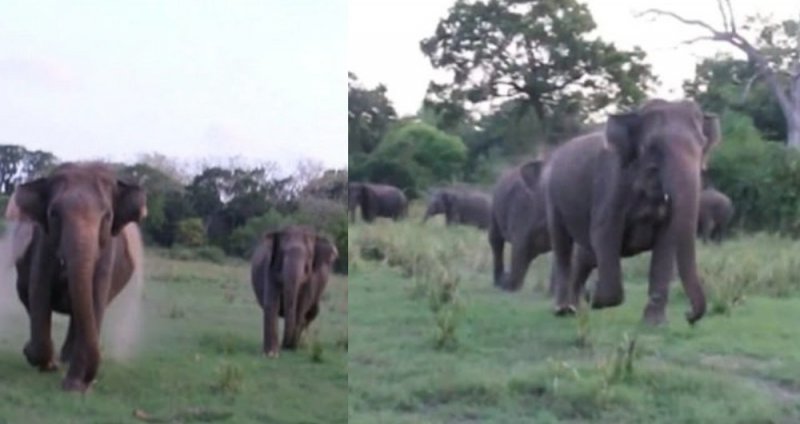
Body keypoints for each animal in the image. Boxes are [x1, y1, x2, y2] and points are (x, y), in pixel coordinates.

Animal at [250, 225, 338, 358]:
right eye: (282, 253)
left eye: (309, 256)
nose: (285, 346)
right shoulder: (270, 268)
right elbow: (271, 304)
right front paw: (271, 354)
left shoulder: (312, 279)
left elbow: (301, 307)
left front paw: (290, 348)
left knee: (311, 313)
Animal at [488, 161, 556, 294]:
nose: (506, 275)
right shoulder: (523, 206)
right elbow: (520, 245)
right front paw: (509, 287)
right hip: (494, 209)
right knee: (496, 241)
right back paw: (499, 283)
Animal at [536, 99, 724, 324]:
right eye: (653, 146)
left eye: (702, 144)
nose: (688, 315)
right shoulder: (611, 184)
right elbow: (604, 234)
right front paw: (595, 298)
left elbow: (667, 241)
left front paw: (655, 324)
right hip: (552, 195)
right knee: (563, 245)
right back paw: (564, 309)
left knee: (585, 255)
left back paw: (577, 307)